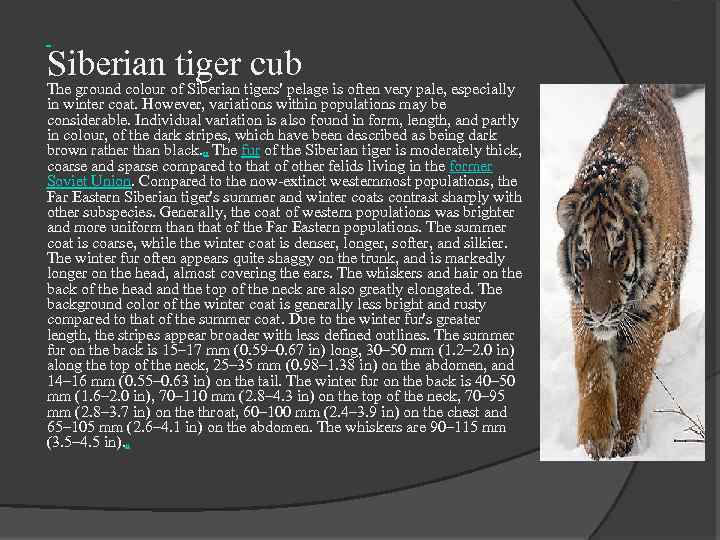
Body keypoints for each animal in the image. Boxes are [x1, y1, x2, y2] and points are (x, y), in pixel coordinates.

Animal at [556, 84, 691, 459]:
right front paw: (593, 441)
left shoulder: (651, 309)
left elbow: (634, 376)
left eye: (617, 253)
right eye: (584, 257)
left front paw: (623, 443)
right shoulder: (582, 310)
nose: (601, 313)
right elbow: (594, 373)